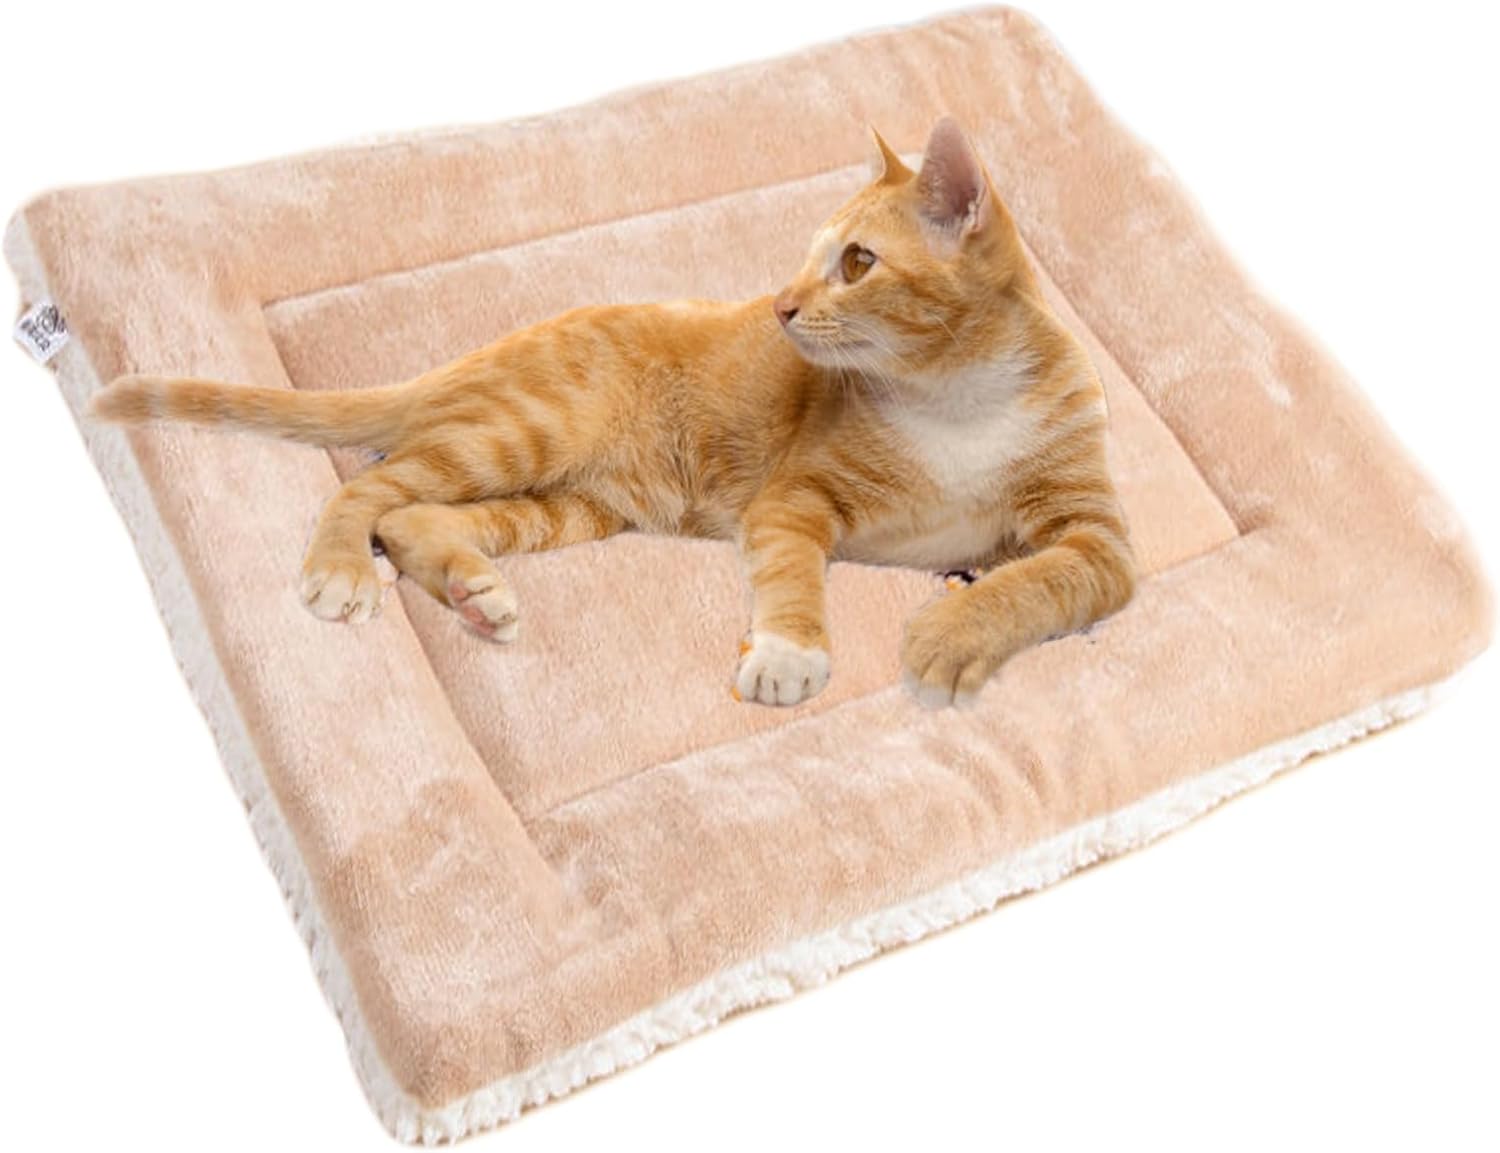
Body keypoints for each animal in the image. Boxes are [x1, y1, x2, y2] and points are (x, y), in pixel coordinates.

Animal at [90, 117, 1136, 709]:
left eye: (857, 262)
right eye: (811, 257)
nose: (781, 307)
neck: (954, 399)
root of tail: (488, 349)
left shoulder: (1099, 539)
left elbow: (1036, 581)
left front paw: (957, 630)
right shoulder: (792, 503)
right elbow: (793, 577)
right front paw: (789, 654)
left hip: (570, 505)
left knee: (414, 514)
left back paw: (474, 593)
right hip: (520, 434)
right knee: (370, 491)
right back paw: (341, 570)